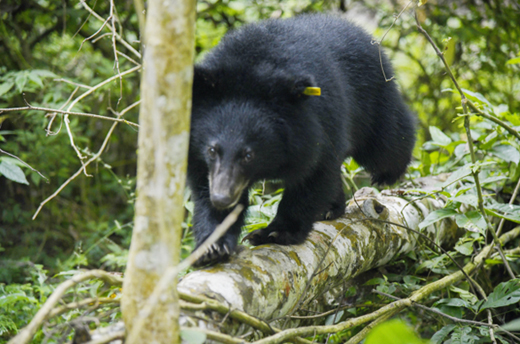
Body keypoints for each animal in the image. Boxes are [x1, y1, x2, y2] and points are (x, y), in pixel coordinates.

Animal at [187, 13, 414, 266]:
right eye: (212, 150)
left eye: (248, 155)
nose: (222, 197)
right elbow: (203, 189)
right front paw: (211, 247)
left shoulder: (318, 126)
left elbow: (313, 176)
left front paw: (275, 232)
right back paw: (331, 208)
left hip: (373, 100)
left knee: (387, 143)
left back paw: (387, 175)